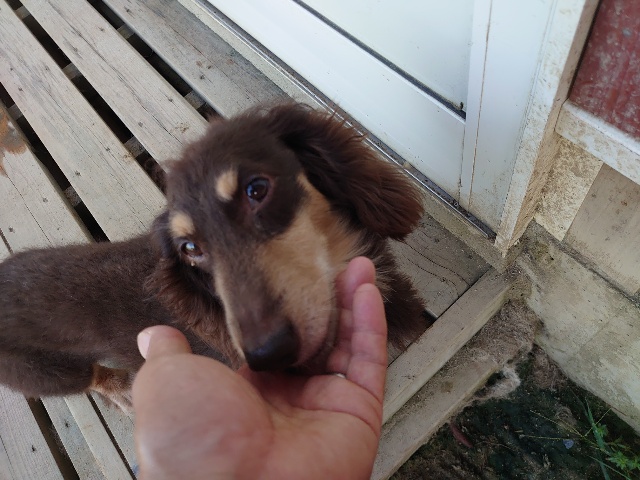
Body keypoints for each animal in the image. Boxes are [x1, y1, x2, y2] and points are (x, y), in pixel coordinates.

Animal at [0, 104, 430, 411]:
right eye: (191, 249)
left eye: (257, 189)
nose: (267, 354)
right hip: (45, 371)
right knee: (89, 376)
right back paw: (121, 387)